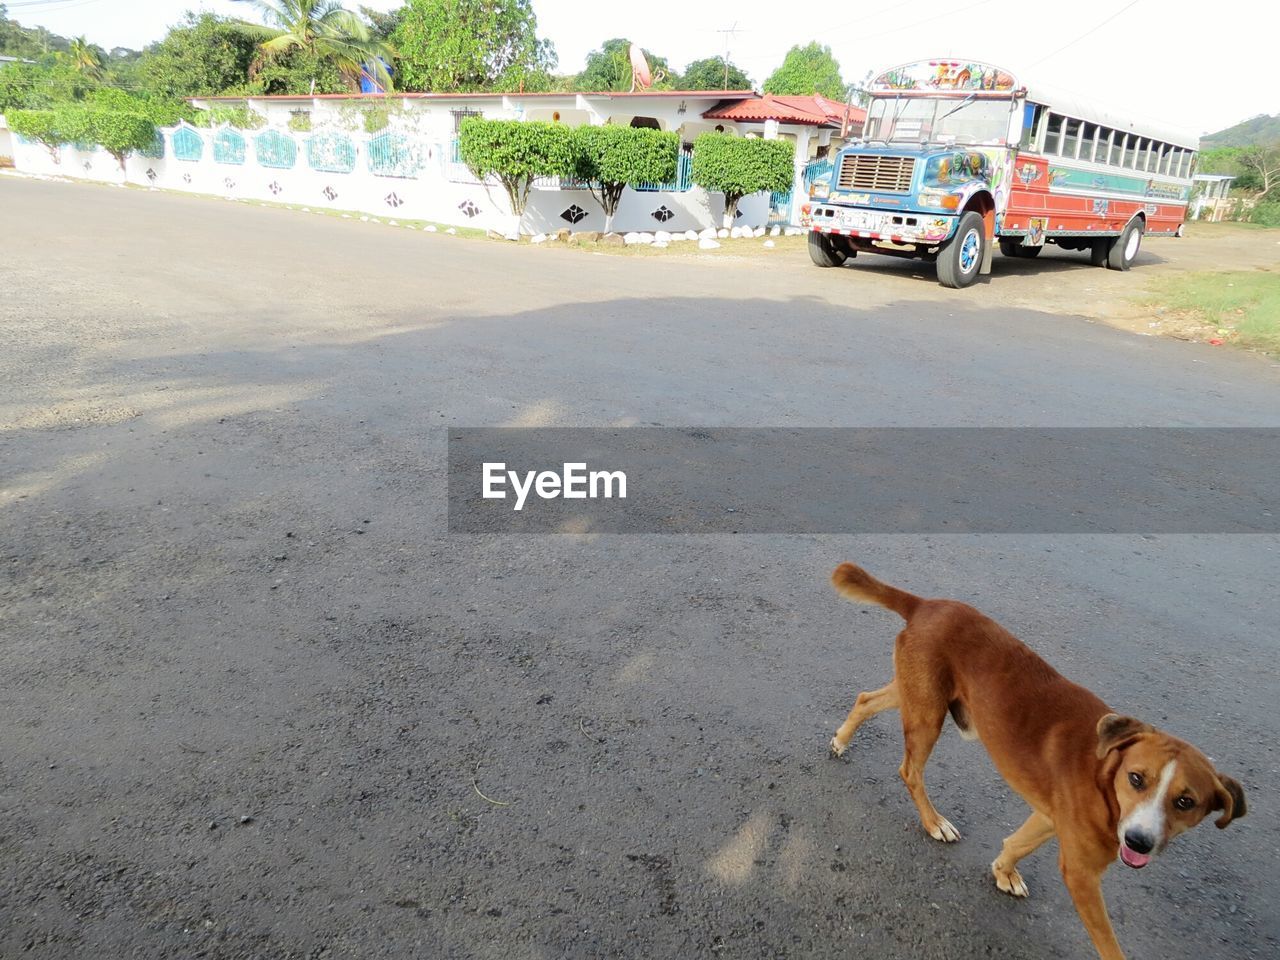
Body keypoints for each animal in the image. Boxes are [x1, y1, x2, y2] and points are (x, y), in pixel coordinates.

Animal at [824, 563, 1244, 960]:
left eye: (1186, 802)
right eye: (1137, 779)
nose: (1138, 842)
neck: (1103, 775)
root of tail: (926, 605)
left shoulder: (1047, 817)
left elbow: (1017, 843)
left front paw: (1004, 872)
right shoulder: (1082, 874)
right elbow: (1110, 946)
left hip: (919, 696)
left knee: (866, 699)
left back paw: (842, 739)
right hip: (927, 714)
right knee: (909, 770)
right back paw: (933, 822)